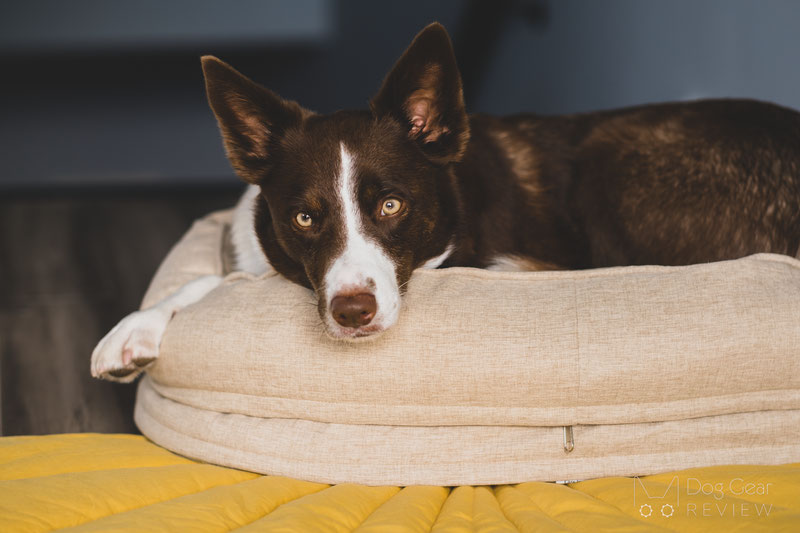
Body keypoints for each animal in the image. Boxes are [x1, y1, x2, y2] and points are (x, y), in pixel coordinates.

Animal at [92, 22, 800, 380]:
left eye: (391, 207)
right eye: (304, 217)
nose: (351, 313)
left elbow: (217, 284)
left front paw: (134, 327)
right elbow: (225, 277)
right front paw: (137, 327)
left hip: (612, 163)